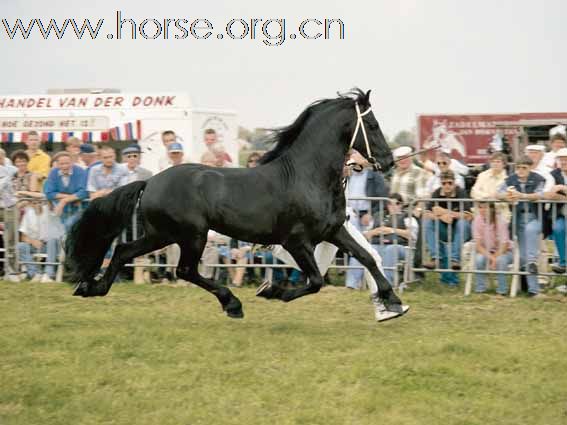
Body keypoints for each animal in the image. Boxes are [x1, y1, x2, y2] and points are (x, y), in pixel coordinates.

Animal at [67, 90, 404, 318]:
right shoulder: (296, 242)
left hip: (162, 234)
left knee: (125, 251)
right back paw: (233, 304)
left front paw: (393, 301)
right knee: (184, 270)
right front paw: (271, 291)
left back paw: (91, 287)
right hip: (191, 235)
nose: (389, 162)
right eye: (373, 124)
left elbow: (367, 257)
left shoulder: (333, 231)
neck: (307, 175)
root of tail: (150, 182)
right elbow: (316, 281)